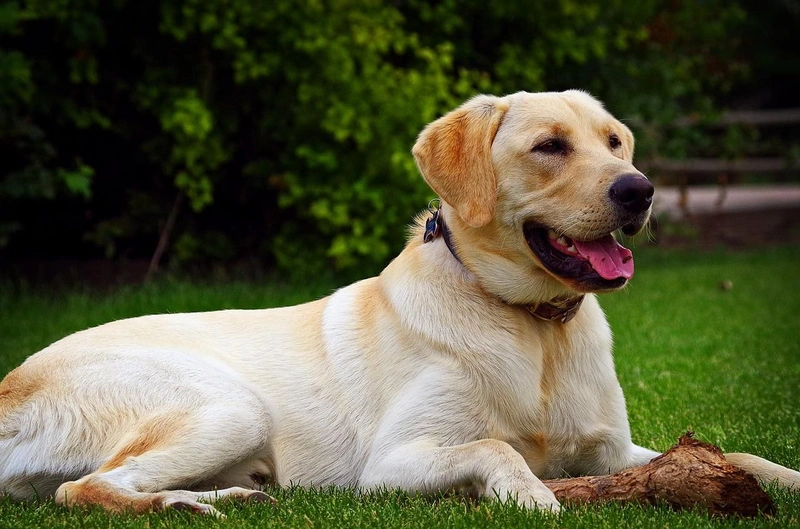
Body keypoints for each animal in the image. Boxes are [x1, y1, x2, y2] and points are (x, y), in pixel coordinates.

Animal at [1, 88, 800, 512]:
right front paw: (534, 495)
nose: (640, 190)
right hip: (228, 404)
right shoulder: (391, 464)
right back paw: (184, 505)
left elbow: (736, 452)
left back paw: (226, 498)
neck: (533, 326)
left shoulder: (614, 449)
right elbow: (493, 446)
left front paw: (784, 478)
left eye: (614, 142)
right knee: (83, 490)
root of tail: (11, 384)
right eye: (549, 146)